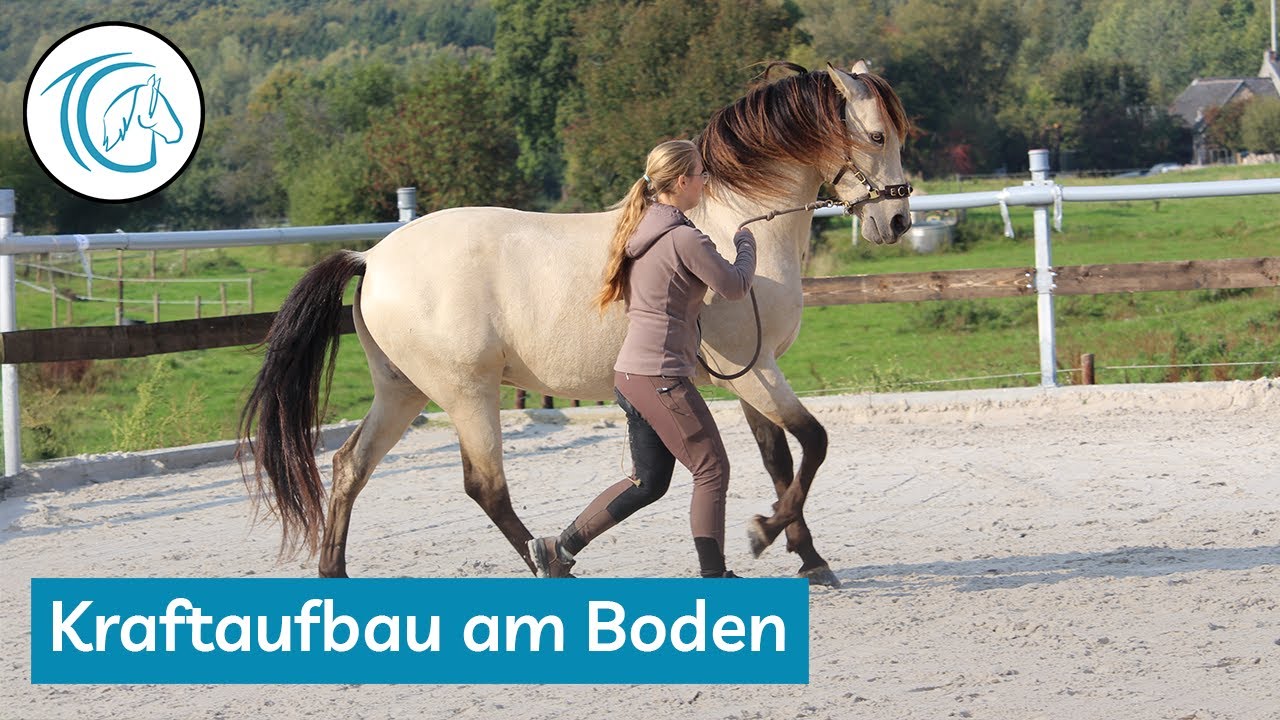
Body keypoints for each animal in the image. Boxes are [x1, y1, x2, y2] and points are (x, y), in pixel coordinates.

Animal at [239, 61, 912, 587]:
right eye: (878, 135)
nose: (898, 221)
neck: (734, 223)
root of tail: (373, 256)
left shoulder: (751, 371)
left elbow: (779, 460)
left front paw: (807, 556)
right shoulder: (751, 371)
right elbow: (813, 443)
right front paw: (768, 535)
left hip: (402, 392)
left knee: (350, 465)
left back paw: (335, 570)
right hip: (467, 392)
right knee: (485, 486)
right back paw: (549, 563)